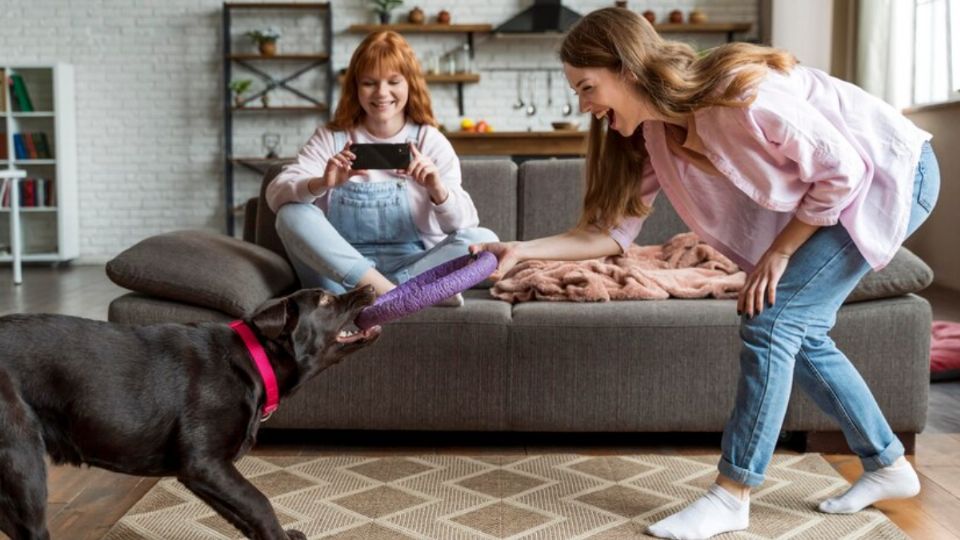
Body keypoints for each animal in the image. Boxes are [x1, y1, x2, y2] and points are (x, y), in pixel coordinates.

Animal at [0, 284, 380, 536]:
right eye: (326, 300)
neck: (252, 361)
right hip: (24, 467)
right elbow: (261, 503)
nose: (368, 286)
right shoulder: (204, 464)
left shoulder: (206, 475)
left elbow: (245, 515)